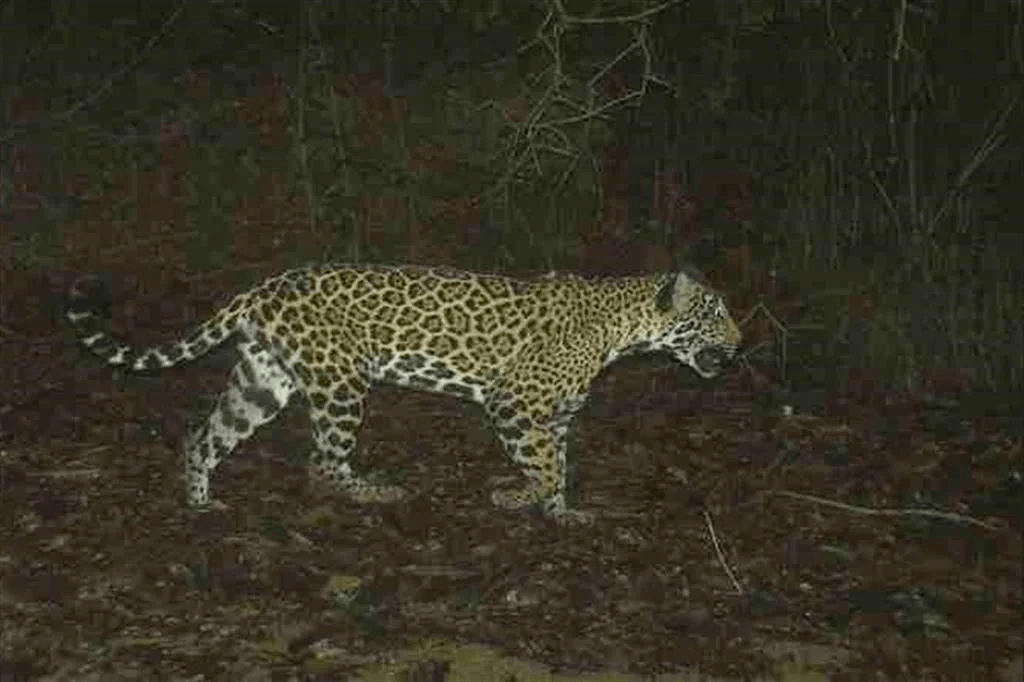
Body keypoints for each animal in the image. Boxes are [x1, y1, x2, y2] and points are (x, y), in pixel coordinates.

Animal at [66, 263, 741, 519]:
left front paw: (561, 514)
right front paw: (515, 498)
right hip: (341, 383)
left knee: (205, 435)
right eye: (714, 313)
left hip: (264, 380)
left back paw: (201, 503)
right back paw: (375, 491)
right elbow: (544, 465)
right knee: (320, 462)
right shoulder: (514, 404)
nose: (741, 343)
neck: (623, 331)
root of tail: (267, 284)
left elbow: (560, 465)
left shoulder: (556, 417)